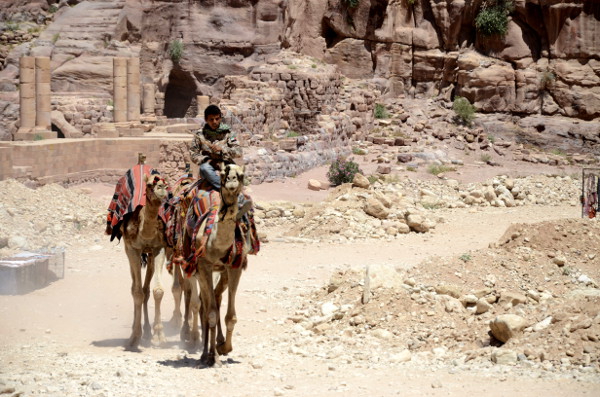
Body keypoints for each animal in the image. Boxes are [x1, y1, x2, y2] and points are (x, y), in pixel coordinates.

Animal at [121, 173, 170, 350]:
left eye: (166, 184)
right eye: (149, 185)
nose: (161, 189)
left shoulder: (159, 248)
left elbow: (157, 290)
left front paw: (159, 337)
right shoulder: (133, 249)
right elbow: (137, 293)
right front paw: (134, 338)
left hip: (149, 256)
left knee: (146, 289)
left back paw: (148, 332)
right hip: (129, 252)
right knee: (136, 288)